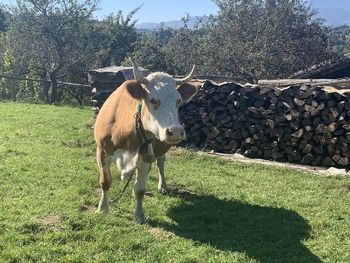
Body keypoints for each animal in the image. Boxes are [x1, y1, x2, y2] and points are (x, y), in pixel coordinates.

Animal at [93, 59, 197, 225]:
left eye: (178, 100)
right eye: (153, 100)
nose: (175, 131)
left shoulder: (146, 157)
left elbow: (140, 189)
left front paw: (139, 216)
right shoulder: (101, 151)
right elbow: (105, 181)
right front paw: (102, 208)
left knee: (160, 164)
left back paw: (163, 186)